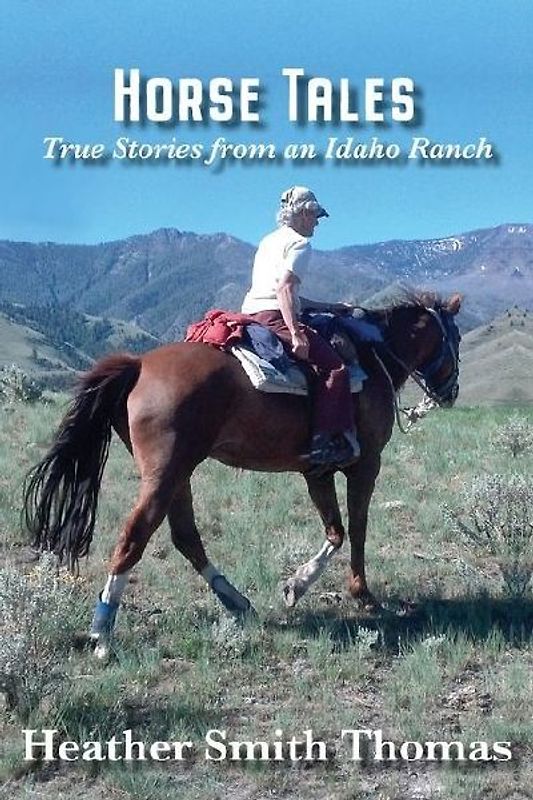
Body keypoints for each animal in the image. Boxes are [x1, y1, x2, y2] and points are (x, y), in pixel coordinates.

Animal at [23, 292, 461, 658]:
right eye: (455, 338)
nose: (450, 392)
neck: (375, 356)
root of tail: (138, 365)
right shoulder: (366, 463)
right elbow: (357, 528)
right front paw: (362, 593)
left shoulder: (315, 470)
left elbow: (334, 531)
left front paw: (296, 585)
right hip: (165, 474)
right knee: (135, 536)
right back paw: (102, 632)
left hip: (177, 474)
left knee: (186, 537)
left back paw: (236, 602)